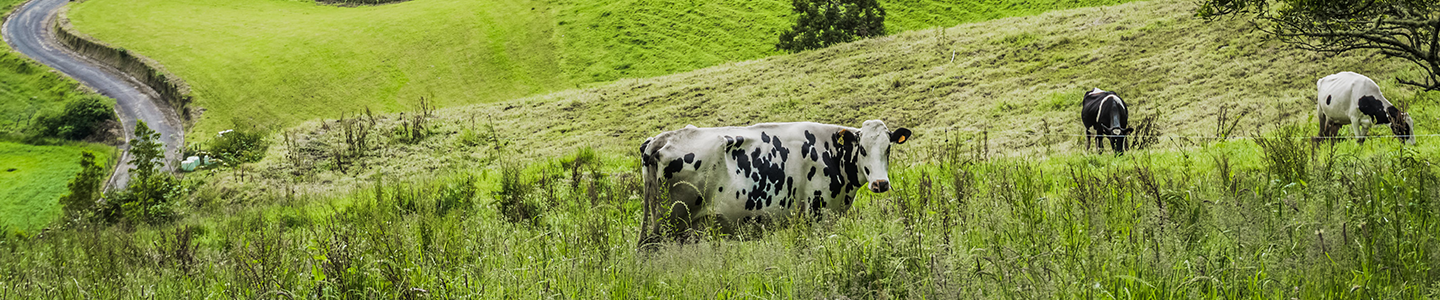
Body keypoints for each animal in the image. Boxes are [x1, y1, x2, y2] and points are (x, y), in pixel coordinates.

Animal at [639, 119, 910, 243]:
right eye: (862, 149)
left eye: (888, 149)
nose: (880, 183)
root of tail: (660, 139)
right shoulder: (817, 213)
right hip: (670, 223)